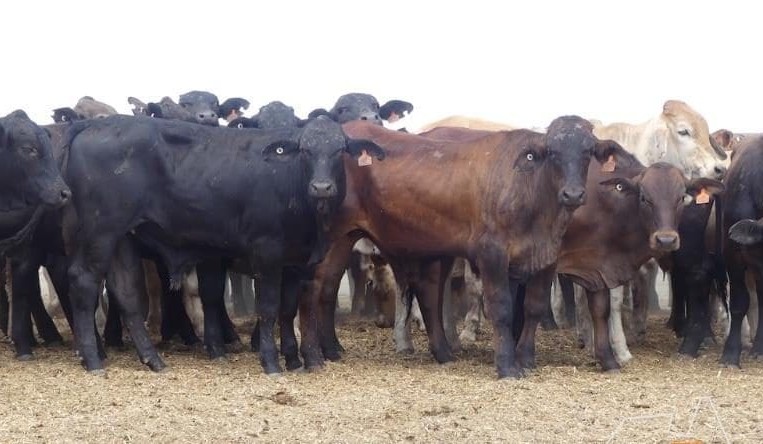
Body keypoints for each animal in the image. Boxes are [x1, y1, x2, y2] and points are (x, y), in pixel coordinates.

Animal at [63, 115, 384, 374]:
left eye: (339, 150)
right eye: (305, 150)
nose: (321, 187)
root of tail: (98, 123)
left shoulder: (297, 263)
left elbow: (288, 310)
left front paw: (293, 360)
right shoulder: (267, 254)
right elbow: (268, 308)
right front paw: (271, 361)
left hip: (123, 238)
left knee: (126, 294)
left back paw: (153, 360)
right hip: (101, 232)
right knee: (83, 281)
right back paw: (93, 360)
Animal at [298, 116, 618, 379]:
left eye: (588, 151)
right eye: (552, 153)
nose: (573, 194)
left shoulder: (541, 259)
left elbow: (531, 308)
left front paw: (525, 359)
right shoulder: (492, 254)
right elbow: (502, 308)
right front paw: (506, 366)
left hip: (348, 238)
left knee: (332, 289)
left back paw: (336, 349)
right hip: (329, 238)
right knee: (314, 288)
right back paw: (314, 355)